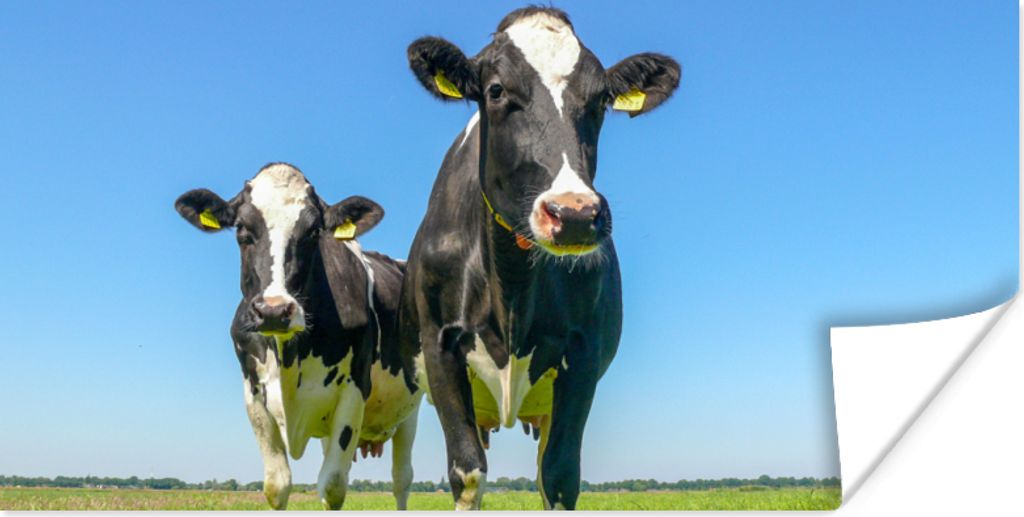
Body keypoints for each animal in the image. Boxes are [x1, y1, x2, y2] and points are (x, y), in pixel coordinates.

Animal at [175, 163, 422, 510]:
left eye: (314, 231)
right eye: (241, 229)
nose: (274, 310)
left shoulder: (353, 392)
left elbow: (332, 485)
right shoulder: (254, 396)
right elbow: (277, 485)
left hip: (410, 410)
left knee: (402, 479)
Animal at [398, 6, 681, 510]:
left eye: (601, 100)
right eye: (495, 90)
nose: (574, 214)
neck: (510, 285)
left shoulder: (583, 355)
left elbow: (560, 474)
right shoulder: (439, 345)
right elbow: (467, 471)